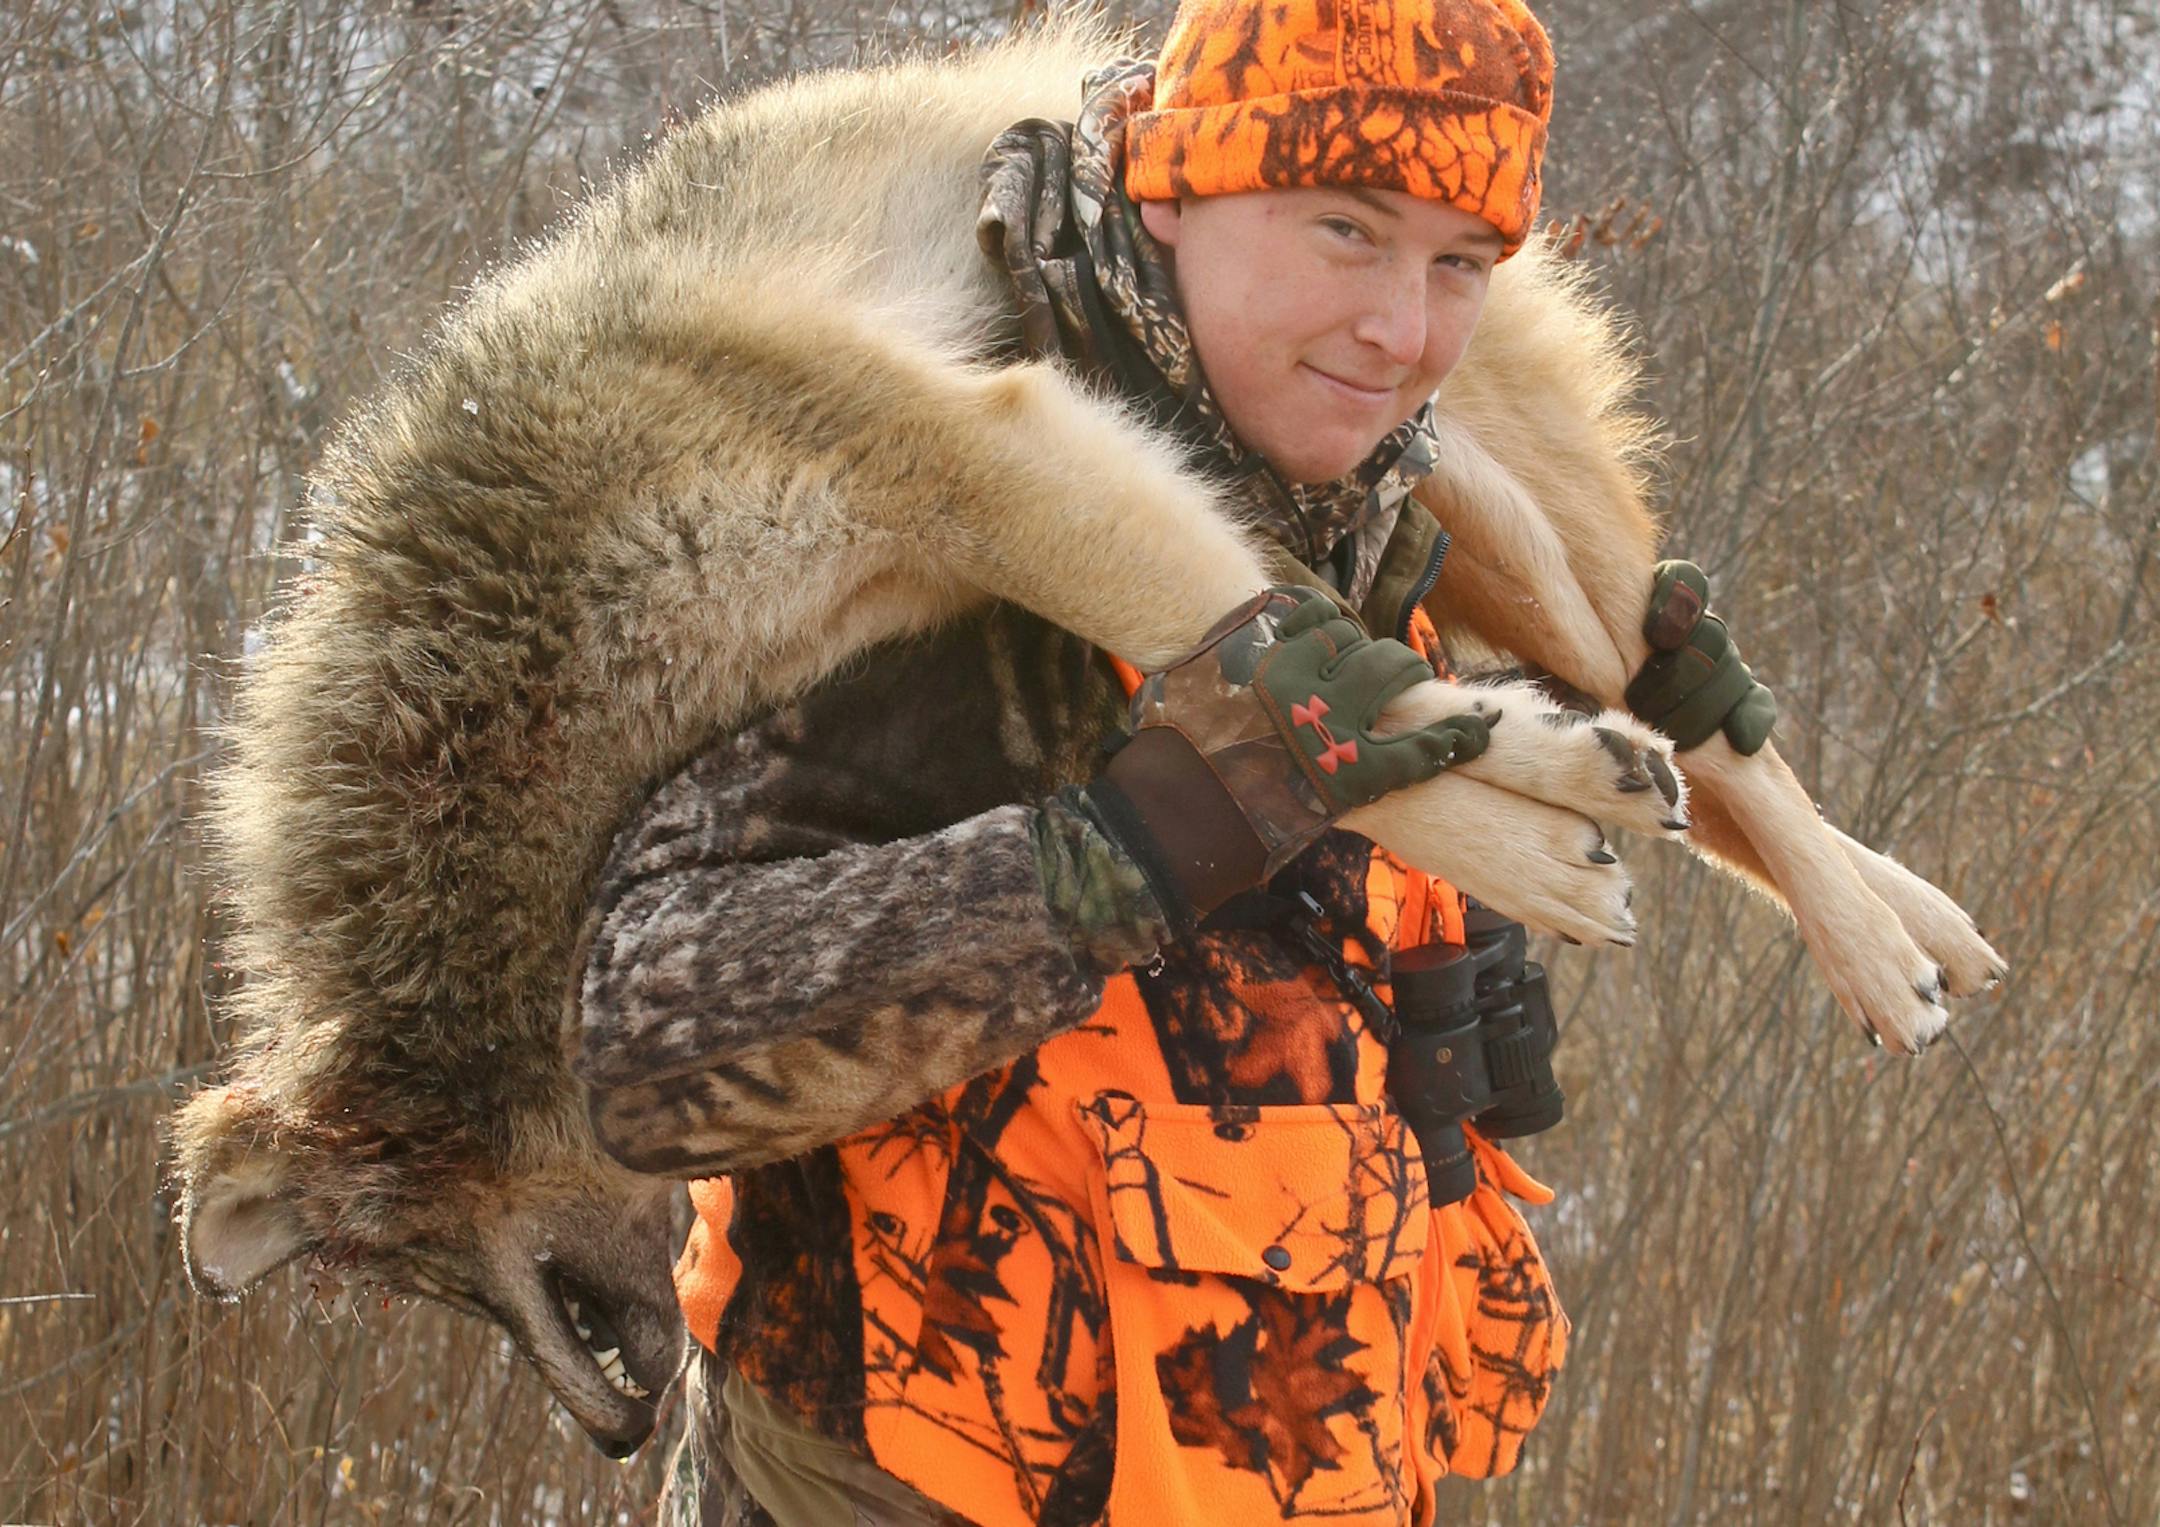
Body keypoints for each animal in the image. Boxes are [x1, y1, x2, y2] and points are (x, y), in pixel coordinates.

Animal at [170, 18, 2003, 1457]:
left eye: (438, 1277)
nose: (618, 1436)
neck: (516, 656)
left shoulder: (982, 458)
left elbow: (1302, 684)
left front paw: (1533, 819)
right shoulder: (1010, 502)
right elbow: (1312, 687)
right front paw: (1515, 794)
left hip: (1512, 498)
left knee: (1724, 719)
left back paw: (1876, 941)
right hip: (1468, 510)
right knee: (1703, 744)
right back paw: (1915, 919)